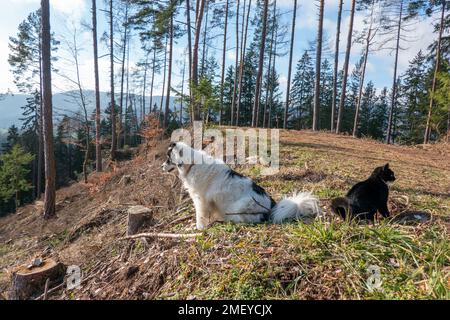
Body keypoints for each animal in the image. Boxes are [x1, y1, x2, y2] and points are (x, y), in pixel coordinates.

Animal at [162, 141, 320, 229]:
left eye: (168, 158)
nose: (161, 166)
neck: (192, 164)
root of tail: (272, 206)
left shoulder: (201, 201)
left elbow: (200, 216)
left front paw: (198, 228)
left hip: (239, 207)